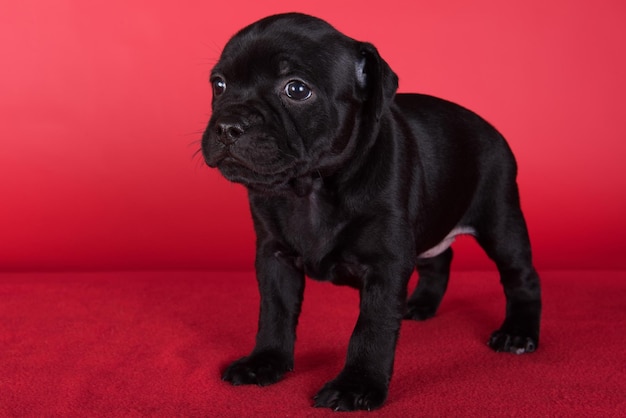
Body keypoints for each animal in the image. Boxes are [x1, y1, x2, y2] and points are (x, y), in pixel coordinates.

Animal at [202, 13, 540, 412]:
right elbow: (275, 312)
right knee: (439, 258)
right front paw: (265, 361)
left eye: (296, 90)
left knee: (520, 275)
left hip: (500, 218)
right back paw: (420, 304)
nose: (227, 125)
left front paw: (357, 385)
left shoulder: (385, 263)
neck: (312, 187)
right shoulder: (274, 256)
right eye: (218, 84)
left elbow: (372, 328)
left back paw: (518, 333)